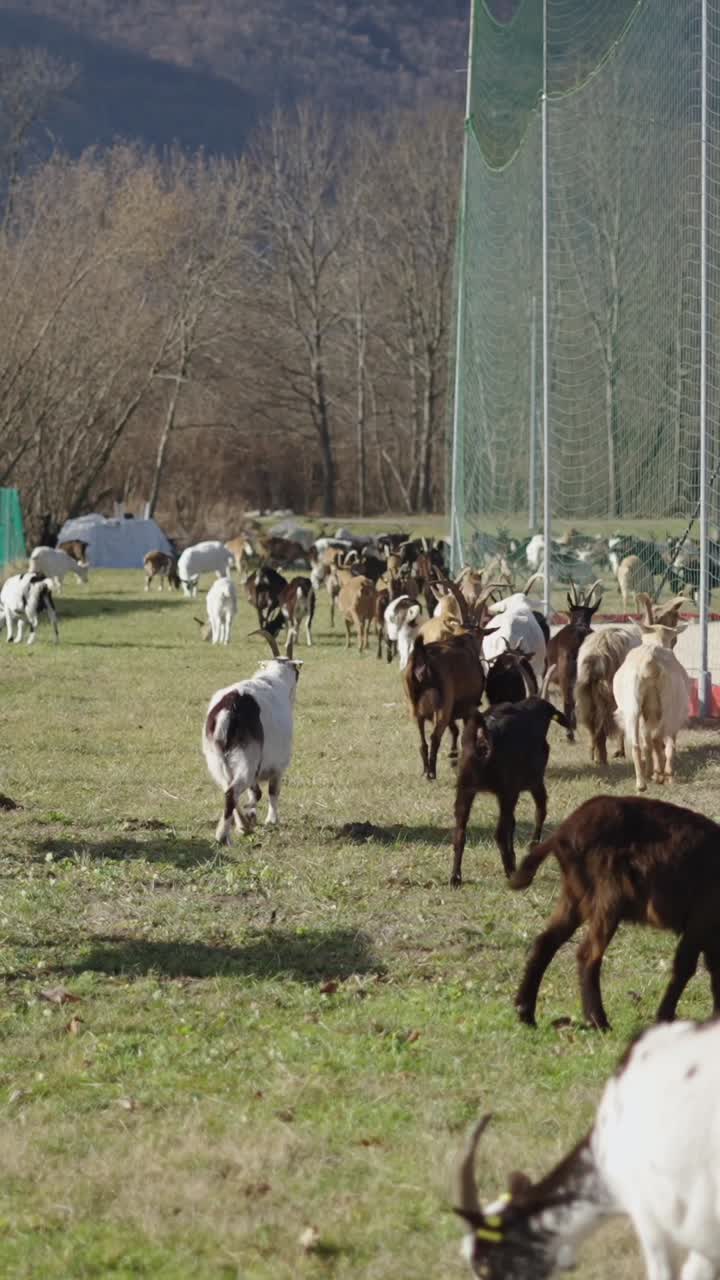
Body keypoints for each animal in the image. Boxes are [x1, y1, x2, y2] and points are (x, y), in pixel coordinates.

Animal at [202, 629, 302, 843]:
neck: (272, 679)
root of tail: (228, 710)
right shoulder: (278, 765)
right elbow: (273, 791)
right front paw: (271, 820)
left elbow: (254, 791)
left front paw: (250, 818)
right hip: (246, 758)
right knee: (233, 792)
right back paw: (224, 836)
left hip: (217, 759)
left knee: (228, 788)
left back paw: (242, 826)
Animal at [451, 696, 568, 885]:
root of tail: (483, 734)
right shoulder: (533, 783)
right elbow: (540, 811)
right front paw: (532, 847)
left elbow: (512, 823)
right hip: (508, 792)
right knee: (499, 833)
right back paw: (510, 871)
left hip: (466, 791)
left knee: (460, 834)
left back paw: (456, 877)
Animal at [511, 793, 720, 1030]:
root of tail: (561, 833)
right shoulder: (700, 920)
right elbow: (685, 968)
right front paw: (664, 1017)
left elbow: (714, 970)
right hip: (608, 896)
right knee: (588, 954)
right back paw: (598, 1021)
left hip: (575, 894)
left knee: (545, 943)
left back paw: (526, 1013)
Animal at [613, 623, 691, 791]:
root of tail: (652, 660)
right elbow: (656, 742)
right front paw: (657, 773)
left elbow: (648, 743)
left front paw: (652, 772)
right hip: (669, 706)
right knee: (666, 743)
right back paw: (666, 776)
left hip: (633, 706)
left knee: (638, 745)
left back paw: (642, 783)